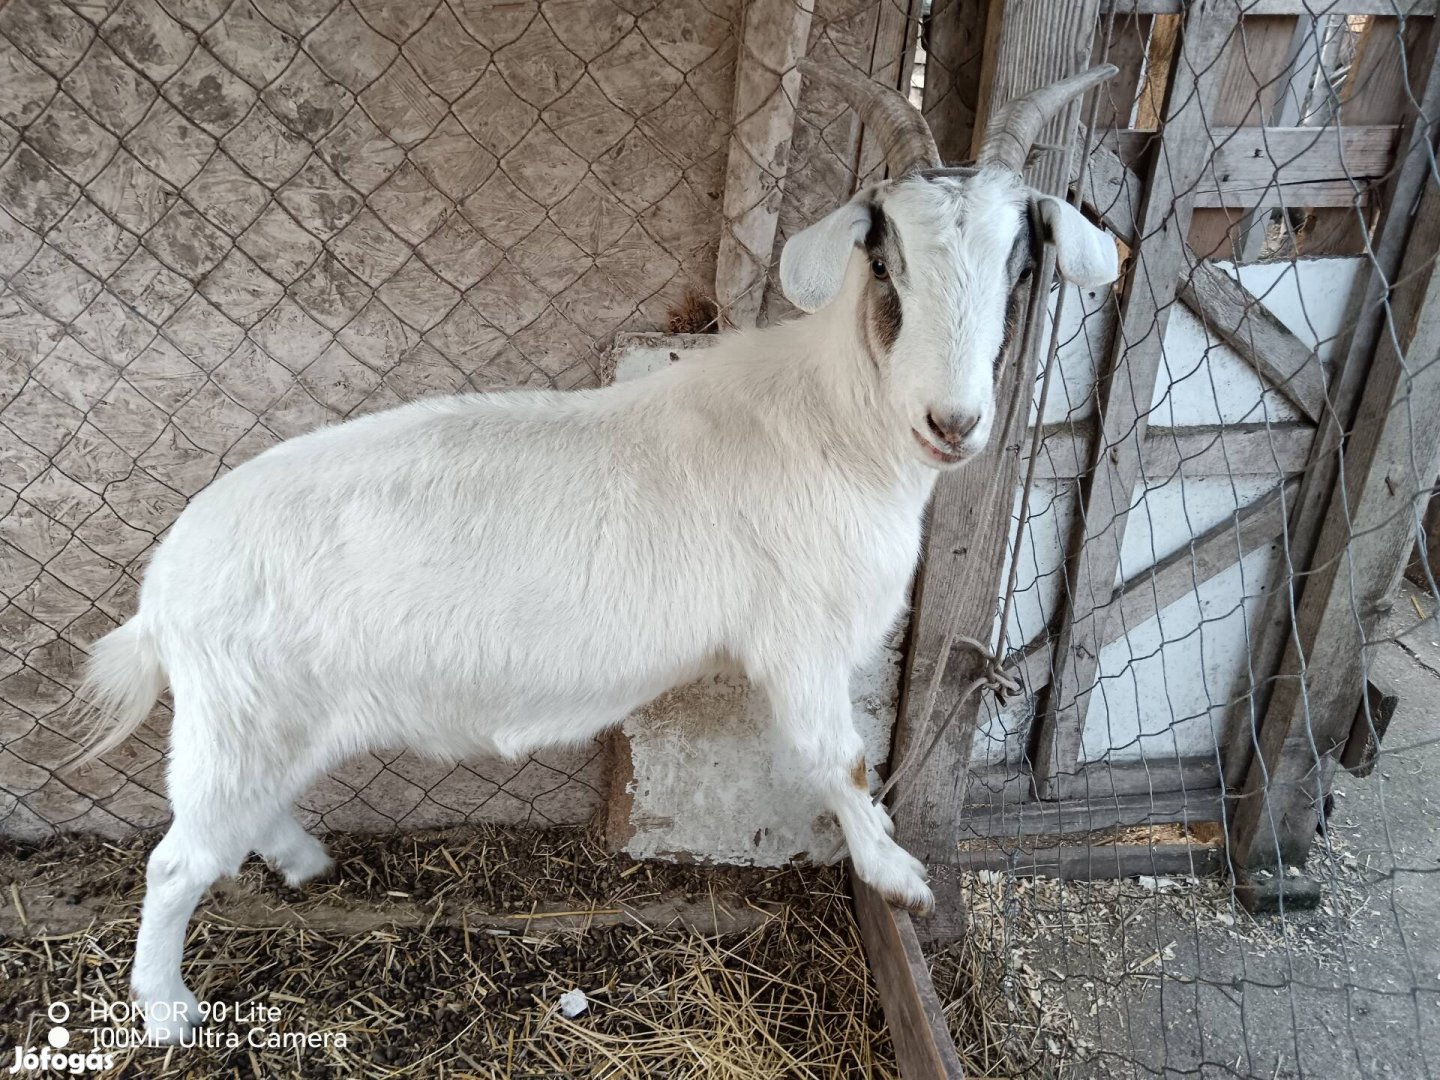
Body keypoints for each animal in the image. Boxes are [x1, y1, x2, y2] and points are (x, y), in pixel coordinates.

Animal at [73, 63, 1117, 1042]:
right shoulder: (800, 639)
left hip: (275, 721)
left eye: (1022, 265)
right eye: (889, 265)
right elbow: (843, 761)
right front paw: (898, 876)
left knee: (244, 816)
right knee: (177, 860)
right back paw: (166, 1010)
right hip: (241, 715)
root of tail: (161, 597)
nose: (953, 423)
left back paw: (302, 861)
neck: (836, 421)